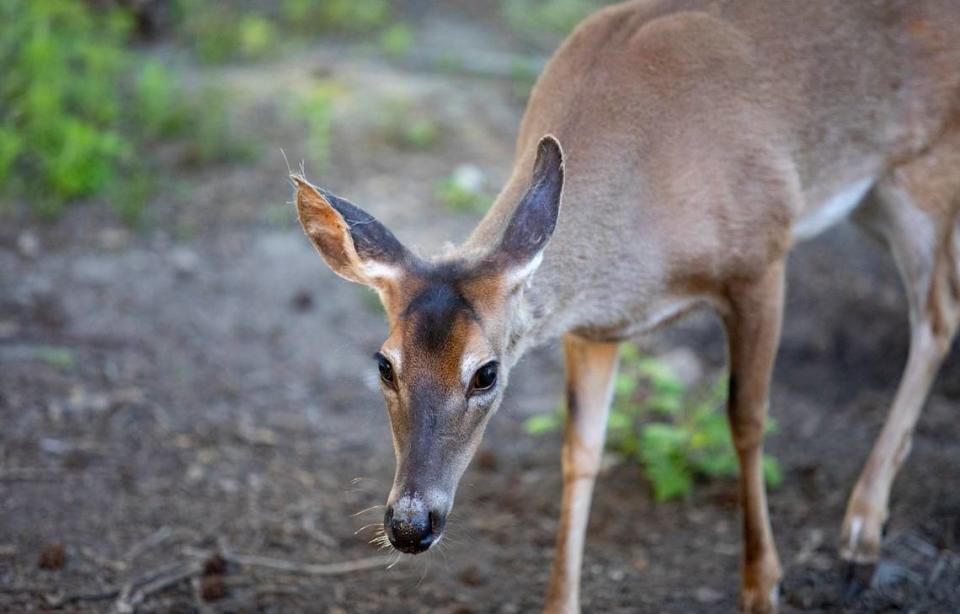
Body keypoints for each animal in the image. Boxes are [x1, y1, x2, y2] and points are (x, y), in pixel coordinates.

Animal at [290, 0, 960, 612]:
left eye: (486, 373)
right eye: (384, 364)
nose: (410, 524)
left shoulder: (762, 257)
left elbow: (747, 419)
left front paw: (762, 586)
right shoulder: (593, 329)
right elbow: (581, 451)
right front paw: (560, 602)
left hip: (926, 167)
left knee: (936, 313)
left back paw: (860, 541)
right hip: (875, 195)